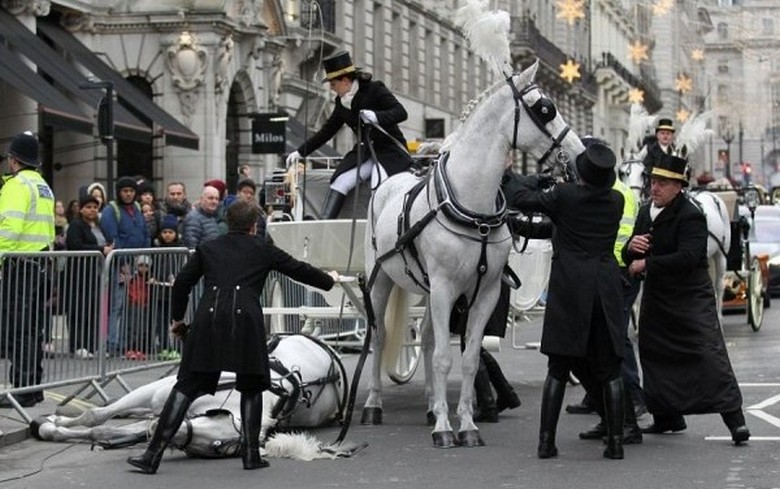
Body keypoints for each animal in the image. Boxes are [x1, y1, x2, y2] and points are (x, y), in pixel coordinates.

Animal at [29, 334, 360, 460]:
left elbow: (103, 430)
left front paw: (50, 427)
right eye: (217, 415)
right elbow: (97, 417)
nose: (154, 431)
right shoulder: (157, 395)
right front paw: (55, 421)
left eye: (217, 448)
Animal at [362, 58, 580, 446]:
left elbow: (467, 358)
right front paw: (444, 429)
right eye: (545, 109)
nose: (579, 151)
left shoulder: (485, 292)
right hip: (383, 280)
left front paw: (465, 424)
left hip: (428, 291)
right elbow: (443, 359)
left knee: (428, 339)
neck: (471, 203)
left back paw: (431, 405)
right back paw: (374, 405)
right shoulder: (445, 288)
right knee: (380, 335)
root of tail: (386, 181)